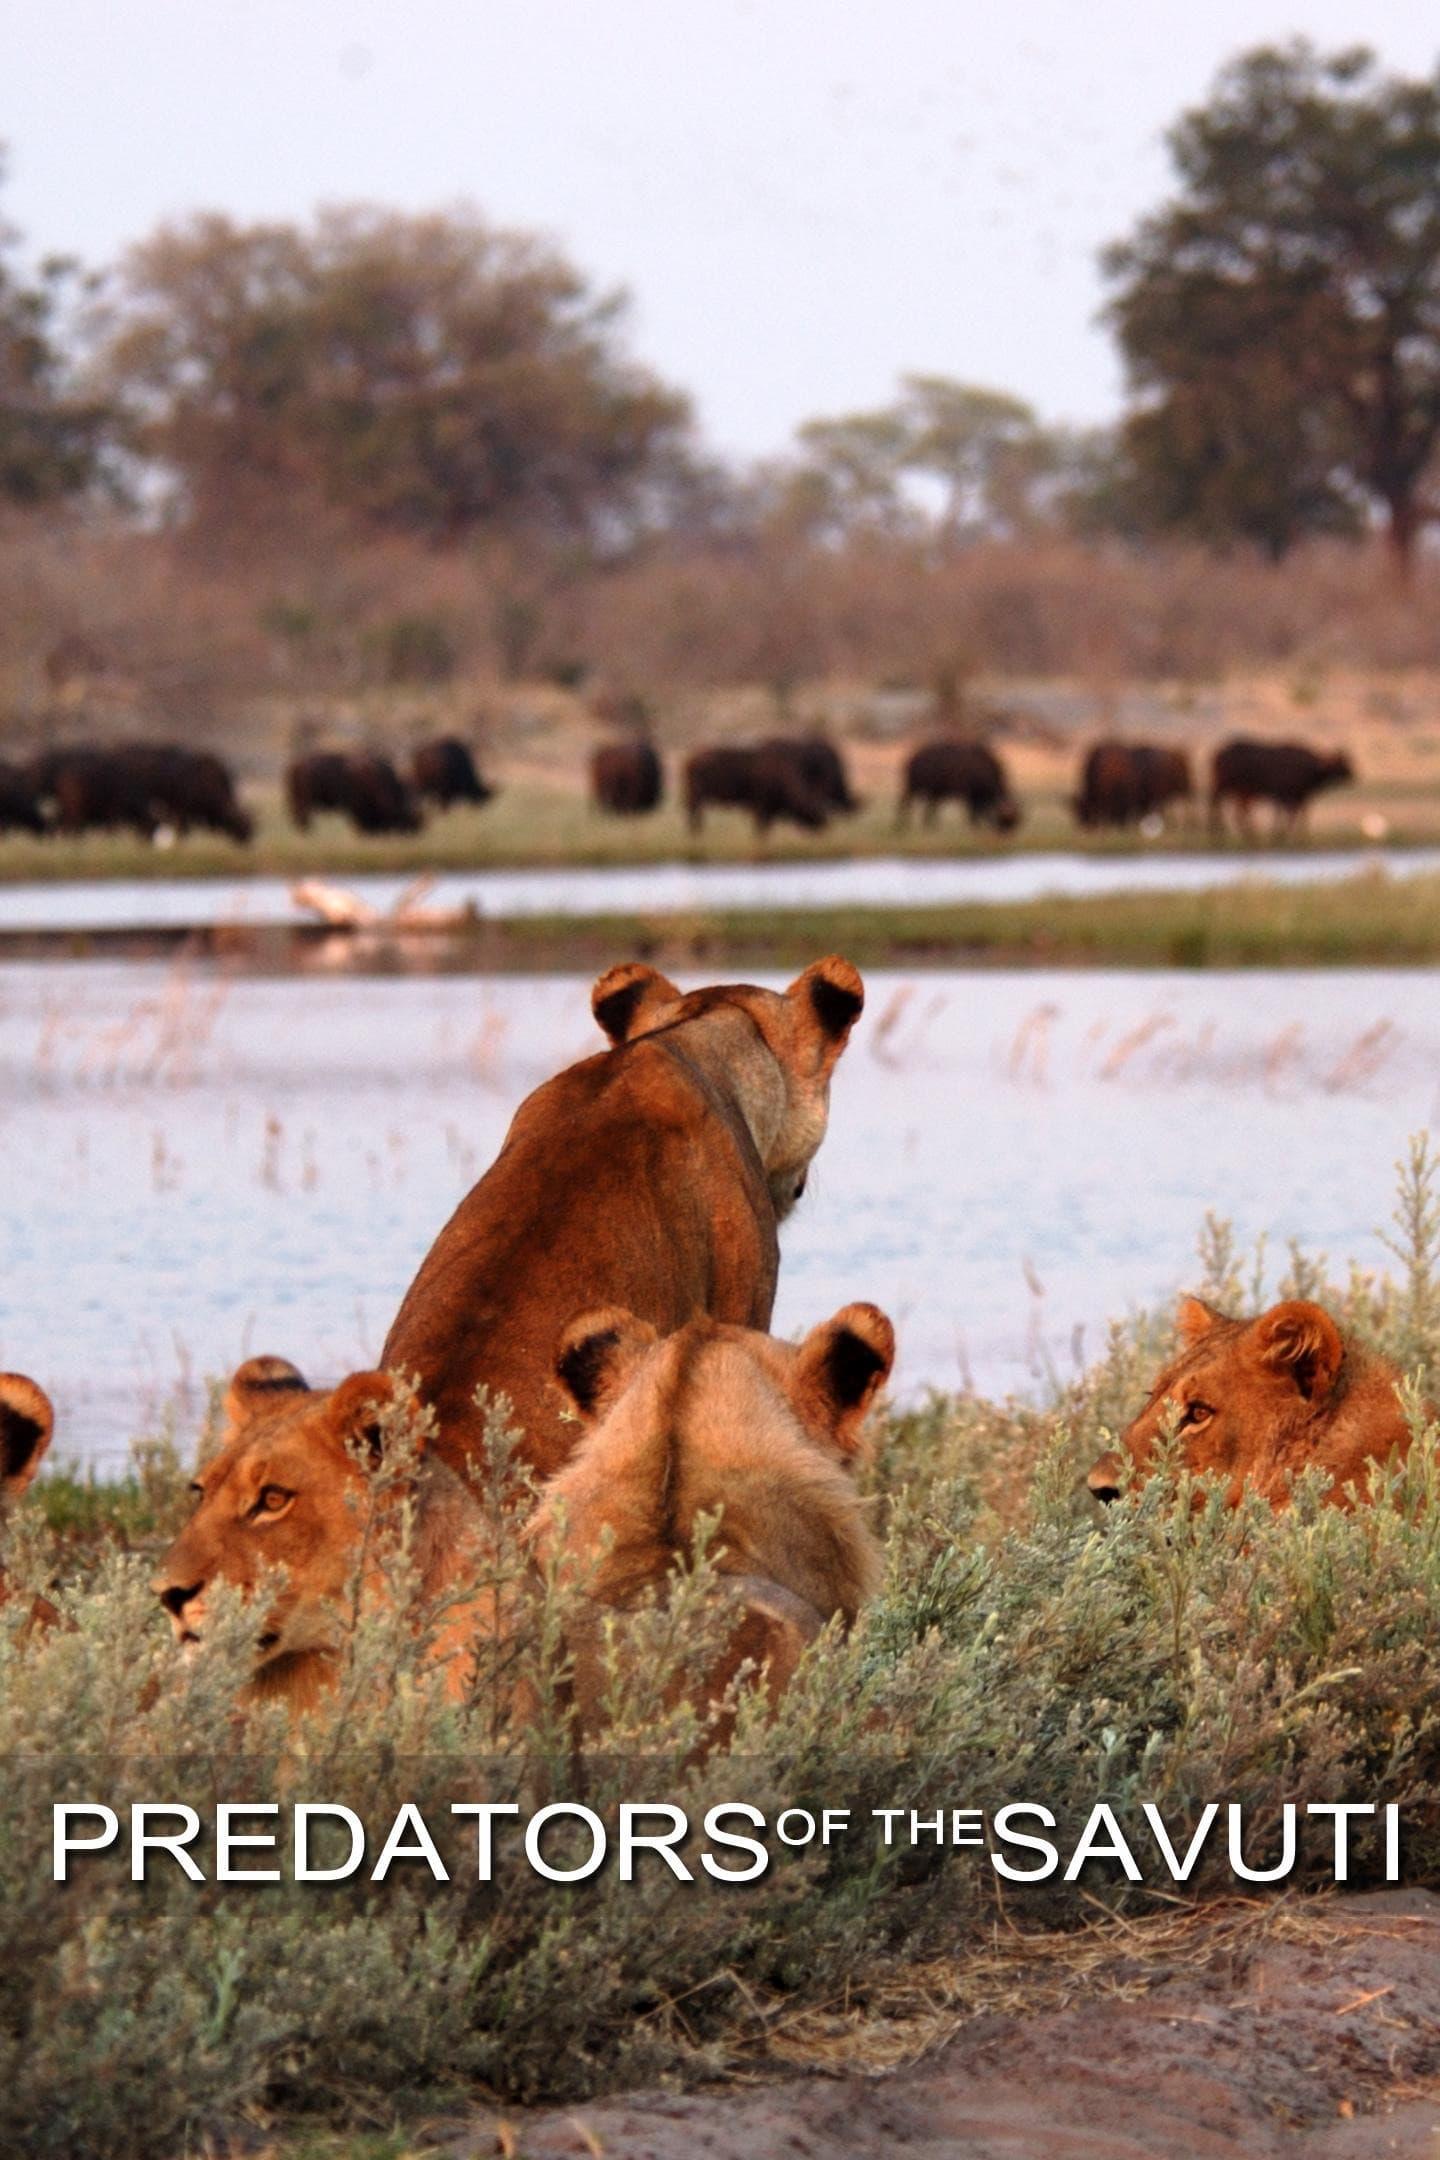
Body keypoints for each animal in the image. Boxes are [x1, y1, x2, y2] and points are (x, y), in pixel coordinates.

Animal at [686, 747, 833, 838]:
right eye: (810, 803)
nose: (824, 823)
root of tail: (688, 760)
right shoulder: (761, 807)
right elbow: (761, 827)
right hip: (696, 797)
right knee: (694, 815)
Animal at [1208, 734, 1355, 833]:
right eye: (1342, 762)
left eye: (1348, 760)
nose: (1353, 774)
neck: (1309, 767)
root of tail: (1219, 752)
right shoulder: (1283, 794)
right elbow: (1286, 814)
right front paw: (1281, 832)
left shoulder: (1298, 797)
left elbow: (1298, 814)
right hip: (1225, 785)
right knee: (1216, 801)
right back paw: (1217, 828)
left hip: (1241, 791)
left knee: (1239, 811)